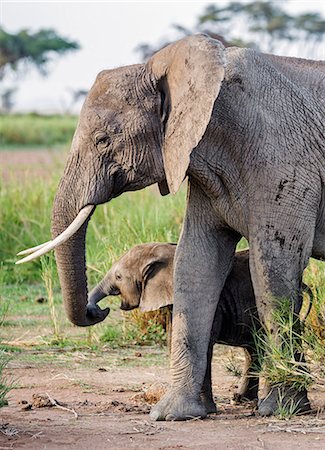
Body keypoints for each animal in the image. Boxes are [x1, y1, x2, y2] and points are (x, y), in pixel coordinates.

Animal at [88, 243, 264, 412]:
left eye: (118, 277)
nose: (99, 309)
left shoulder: (212, 306)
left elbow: (203, 345)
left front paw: (205, 409)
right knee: (253, 350)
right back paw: (241, 400)